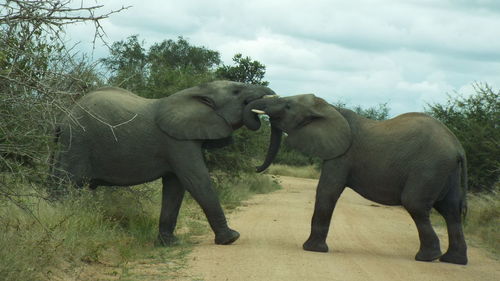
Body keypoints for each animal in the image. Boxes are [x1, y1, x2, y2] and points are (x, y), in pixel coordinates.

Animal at [51, 80, 278, 245]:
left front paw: (170, 244)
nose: (257, 168)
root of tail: (63, 119)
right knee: (66, 185)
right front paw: (231, 238)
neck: (196, 92)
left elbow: (175, 187)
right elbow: (196, 180)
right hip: (77, 143)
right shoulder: (177, 141)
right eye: (237, 91)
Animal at [246, 94, 468, 264]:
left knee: (415, 204)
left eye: (288, 106)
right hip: (447, 172)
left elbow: (327, 190)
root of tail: (458, 148)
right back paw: (452, 260)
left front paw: (311, 249)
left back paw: (427, 257)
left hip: (429, 168)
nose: (255, 167)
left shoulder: (342, 155)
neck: (330, 108)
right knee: (451, 211)